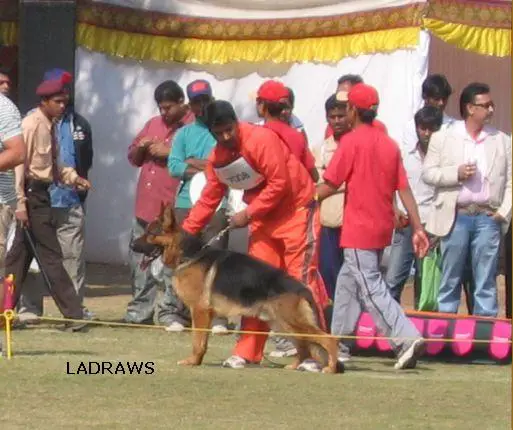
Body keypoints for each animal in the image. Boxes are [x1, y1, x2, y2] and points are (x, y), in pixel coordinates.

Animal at [132, 203, 340, 374]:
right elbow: (203, 342)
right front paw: (197, 361)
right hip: (283, 324)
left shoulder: (199, 311)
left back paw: (330, 368)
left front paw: (191, 361)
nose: (132, 245)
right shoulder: (205, 314)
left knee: (329, 339)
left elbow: (197, 341)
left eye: (150, 234)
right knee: (304, 346)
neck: (190, 255)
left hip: (292, 322)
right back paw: (295, 366)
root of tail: (302, 288)